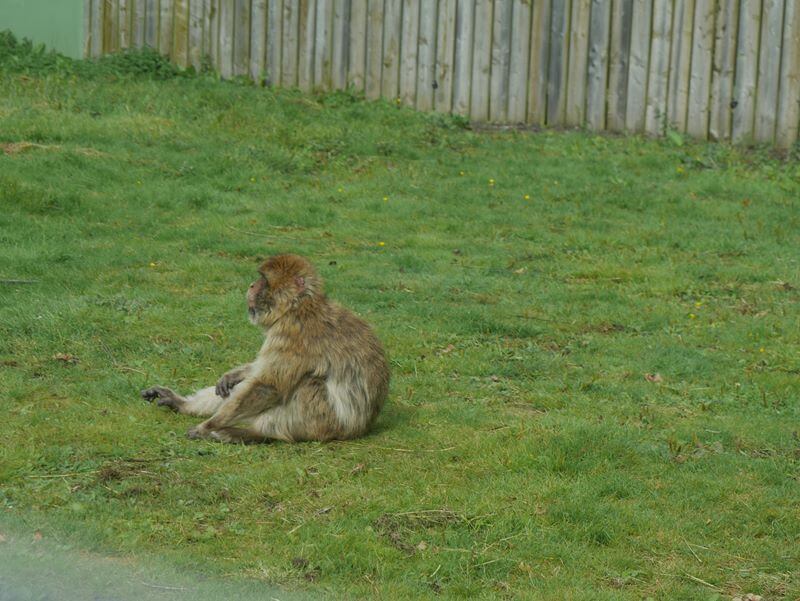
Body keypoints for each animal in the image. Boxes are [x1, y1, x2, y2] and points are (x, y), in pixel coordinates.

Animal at [145, 253, 394, 440]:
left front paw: (208, 426)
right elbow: (254, 375)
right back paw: (183, 404)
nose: (251, 285)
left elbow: (268, 386)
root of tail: (359, 429)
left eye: (263, 280)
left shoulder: (293, 335)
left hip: (322, 422)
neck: (298, 307)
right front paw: (233, 376)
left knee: (307, 383)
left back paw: (254, 433)